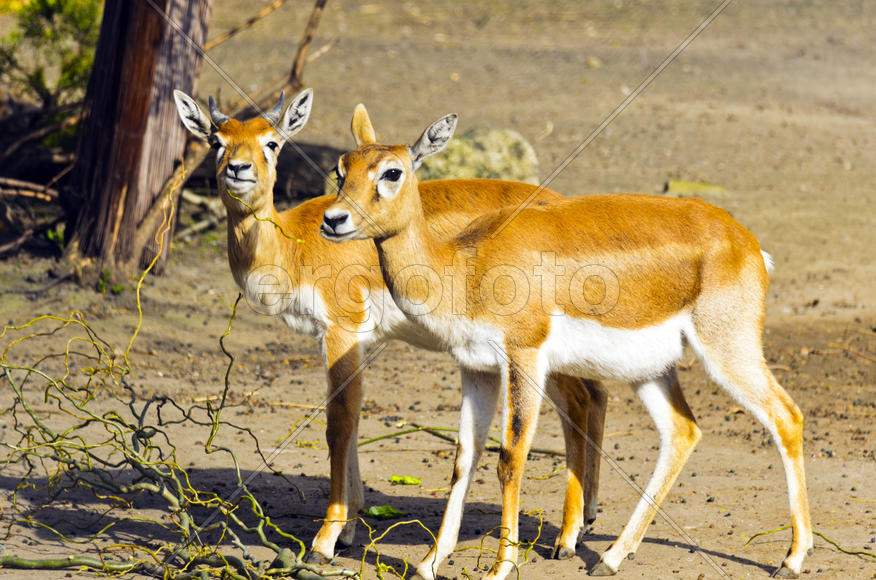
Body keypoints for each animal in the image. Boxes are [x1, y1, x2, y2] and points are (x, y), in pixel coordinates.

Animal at [172, 90, 614, 566]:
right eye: (216, 140)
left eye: (272, 141)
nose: (238, 168)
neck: (294, 245)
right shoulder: (351, 341)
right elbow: (353, 420)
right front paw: (348, 532)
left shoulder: (341, 329)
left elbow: (338, 423)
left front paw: (325, 541)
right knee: (596, 395)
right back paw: (585, 520)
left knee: (578, 404)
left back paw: (566, 539)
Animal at [321, 109, 813, 579]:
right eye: (341, 168)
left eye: (392, 171)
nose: (333, 220)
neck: (465, 265)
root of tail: (744, 240)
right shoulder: (476, 368)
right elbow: (464, 459)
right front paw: (427, 564)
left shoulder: (524, 355)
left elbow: (511, 456)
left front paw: (501, 567)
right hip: (651, 370)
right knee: (682, 430)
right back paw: (612, 557)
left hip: (728, 350)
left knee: (786, 417)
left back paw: (791, 560)